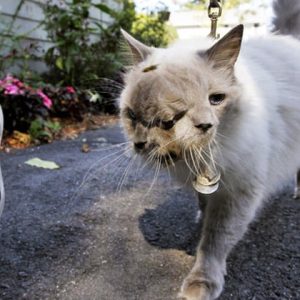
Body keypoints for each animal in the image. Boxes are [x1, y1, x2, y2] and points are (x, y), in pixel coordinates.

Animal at [118, 1, 300, 298]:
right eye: (135, 115)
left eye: (216, 99)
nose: (204, 125)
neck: (197, 156)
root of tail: (289, 38)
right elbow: (203, 203)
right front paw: (200, 216)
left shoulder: (238, 193)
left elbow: (214, 242)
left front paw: (201, 283)